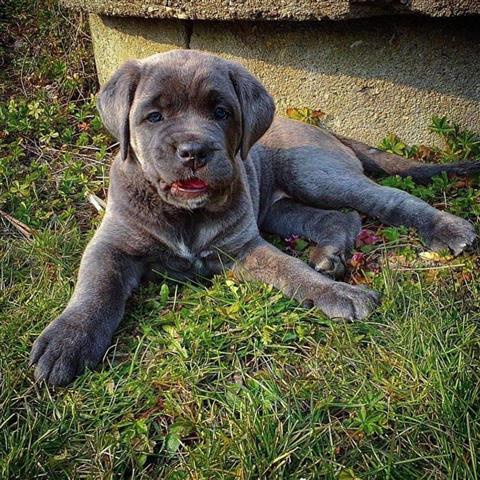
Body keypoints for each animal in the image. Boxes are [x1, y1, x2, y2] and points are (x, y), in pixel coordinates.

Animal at [31, 48, 476, 386]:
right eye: (154, 116)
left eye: (221, 112)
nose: (194, 151)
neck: (184, 214)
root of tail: (321, 129)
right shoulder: (112, 245)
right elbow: (96, 289)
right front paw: (68, 341)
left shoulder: (243, 247)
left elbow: (291, 270)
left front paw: (338, 294)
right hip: (280, 206)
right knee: (341, 219)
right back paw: (329, 257)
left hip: (315, 174)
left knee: (388, 199)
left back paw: (447, 228)